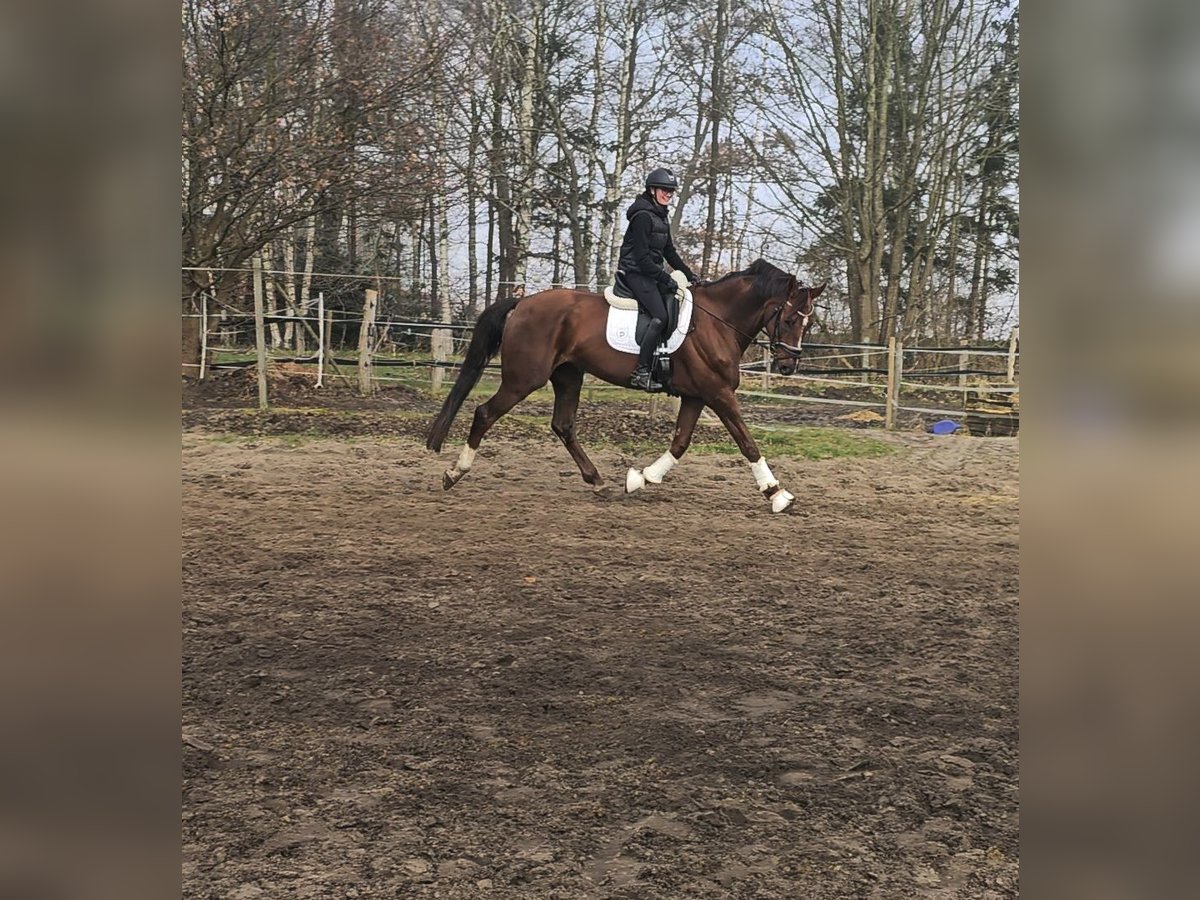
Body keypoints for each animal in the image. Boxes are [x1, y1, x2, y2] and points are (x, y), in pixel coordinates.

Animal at [422, 259, 825, 513]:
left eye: (807, 322)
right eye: (790, 319)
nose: (788, 365)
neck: (717, 322)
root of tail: (523, 302)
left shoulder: (696, 396)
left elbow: (679, 444)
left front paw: (640, 479)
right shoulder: (718, 394)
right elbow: (747, 442)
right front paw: (777, 494)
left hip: (568, 375)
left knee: (563, 425)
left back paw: (598, 482)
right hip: (525, 378)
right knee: (485, 413)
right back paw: (454, 473)